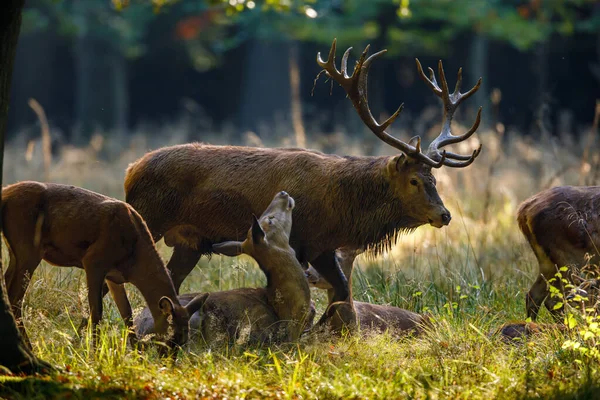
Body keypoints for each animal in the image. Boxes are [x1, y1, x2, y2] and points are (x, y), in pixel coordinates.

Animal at [2, 181, 190, 350]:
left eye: (183, 341)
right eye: (171, 337)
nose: (168, 360)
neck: (134, 257)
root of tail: (4, 194)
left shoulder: (114, 277)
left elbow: (127, 312)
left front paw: (136, 351)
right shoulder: (93, 260)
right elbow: (96, 311)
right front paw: (95, 351)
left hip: (16, 252)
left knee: (7, 282)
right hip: (28, 248)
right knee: (15, 298)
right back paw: (28, 346)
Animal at [124, 38, 486, 328]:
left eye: (434, 178)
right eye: (413, 180)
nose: (444, 215)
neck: (340, 209)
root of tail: (130, 170)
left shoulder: (322, 246)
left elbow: (341, 289)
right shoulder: (297, 240)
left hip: (189, 242)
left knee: (170, 281)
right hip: (148, 218)